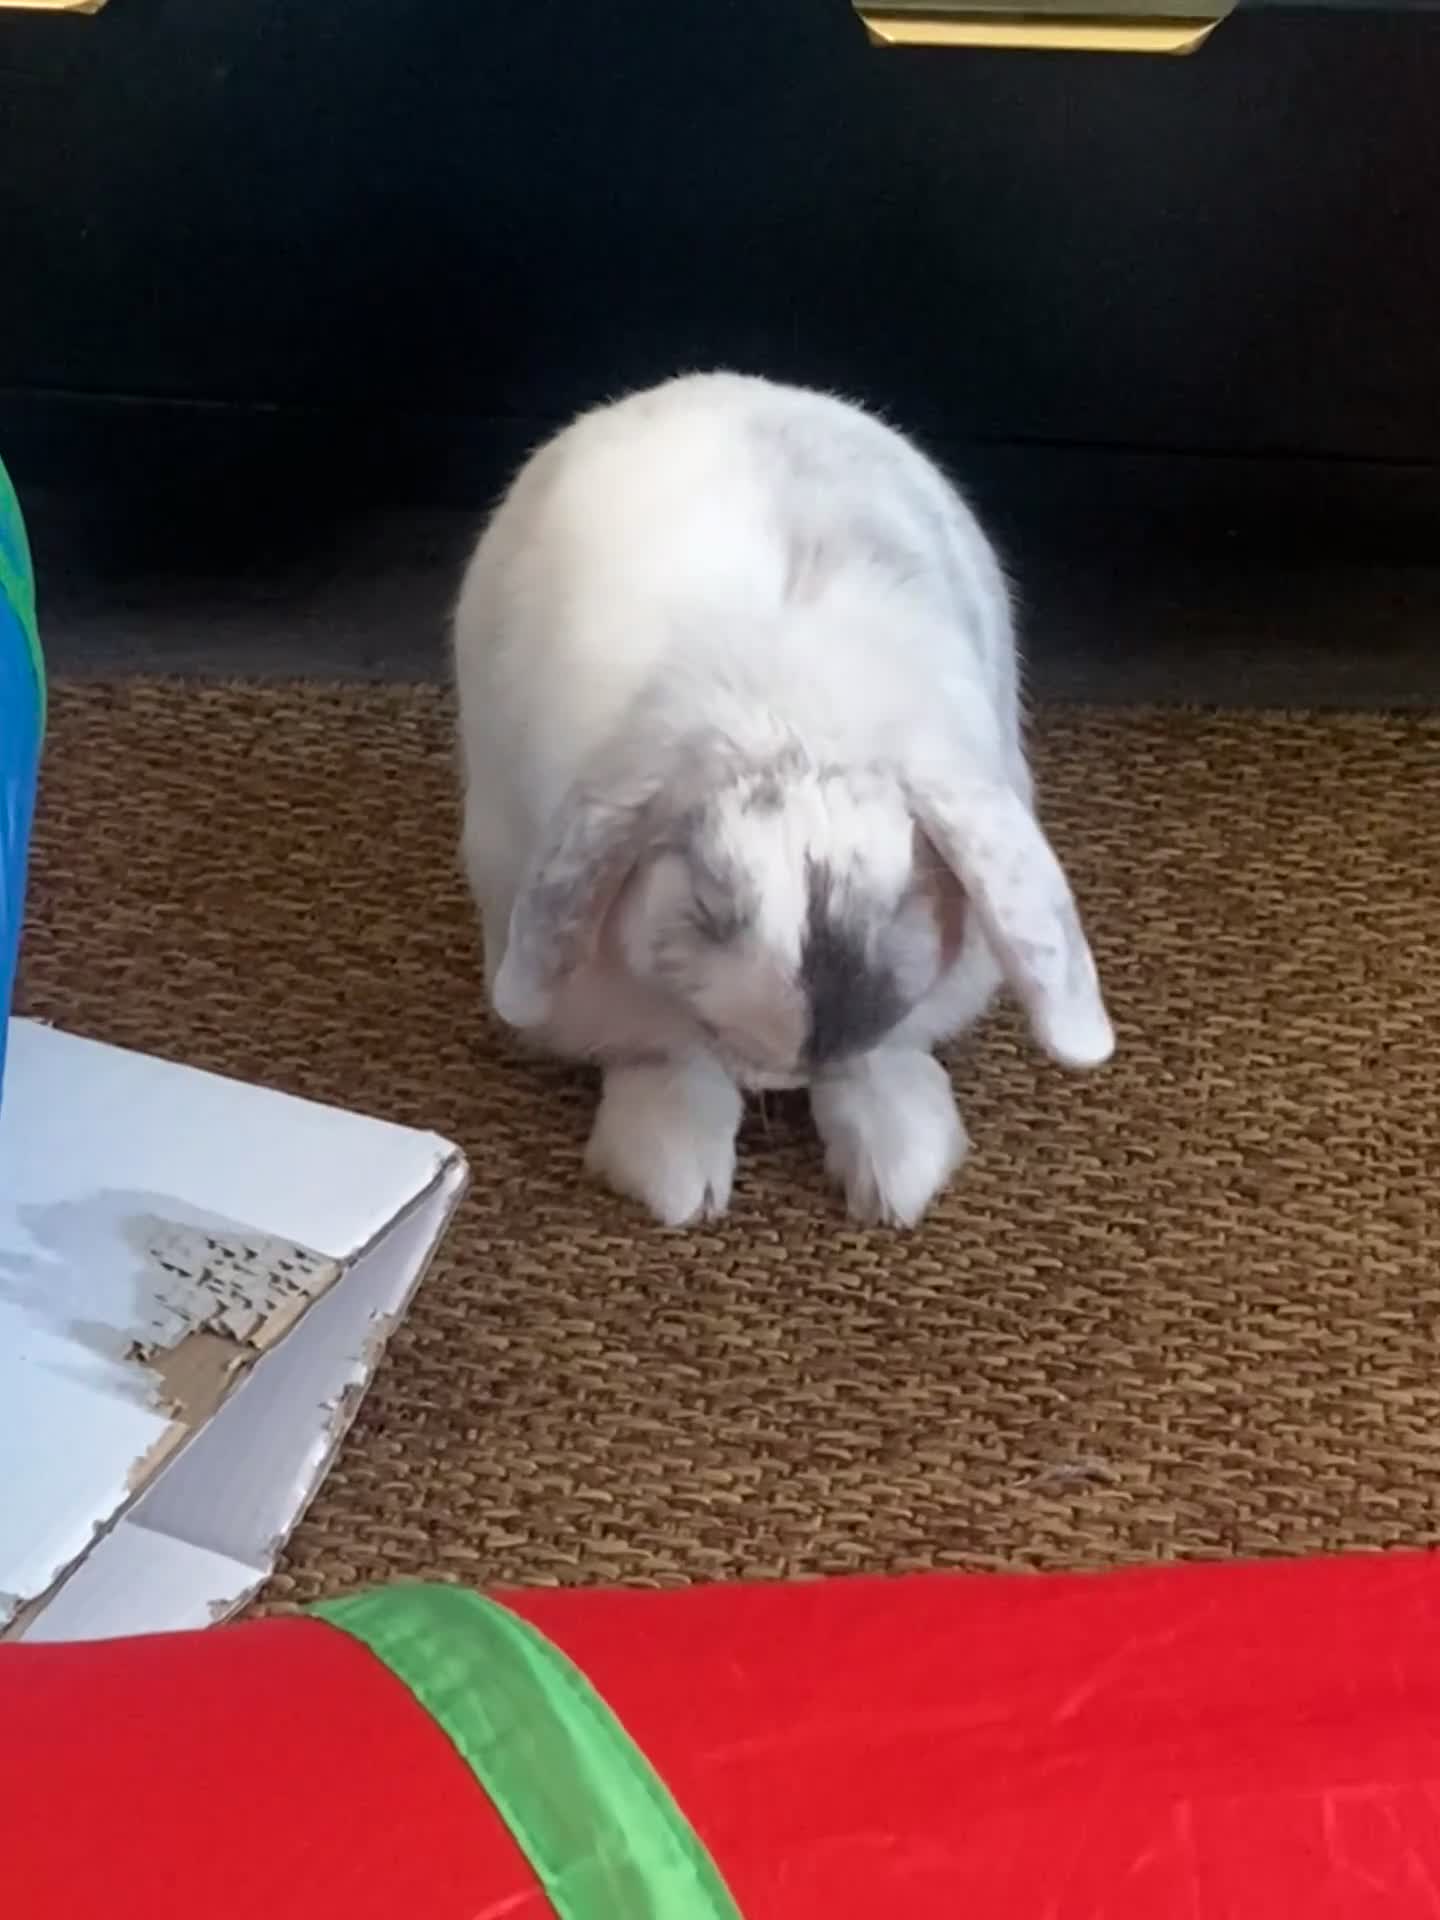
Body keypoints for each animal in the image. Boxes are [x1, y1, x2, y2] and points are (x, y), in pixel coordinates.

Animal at [453, 371, 1113, 1227]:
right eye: (707, 904)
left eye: (907, 892)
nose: (798, 1062)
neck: (790, 724)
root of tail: (718, 385)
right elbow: (666, 1054)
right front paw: (675, 1178)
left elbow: (884, 1059)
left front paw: (897, 1173)